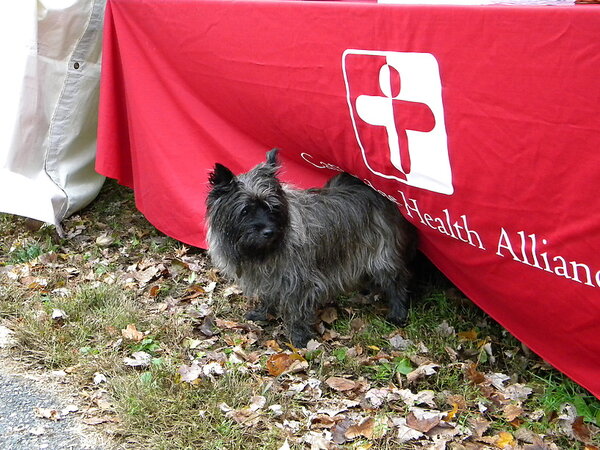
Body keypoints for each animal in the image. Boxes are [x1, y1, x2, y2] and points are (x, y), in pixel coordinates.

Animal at [206, 149, 418, 346]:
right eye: (245, 210)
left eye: (273, 207)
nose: (269, 232)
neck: (263, 251)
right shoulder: (270, 277)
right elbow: (268, 295)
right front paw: (263, 313)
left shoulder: (300, 283)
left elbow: (297, 312)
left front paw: (299, 338)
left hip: (382, 256)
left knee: (397, 281)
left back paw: (398, 313)